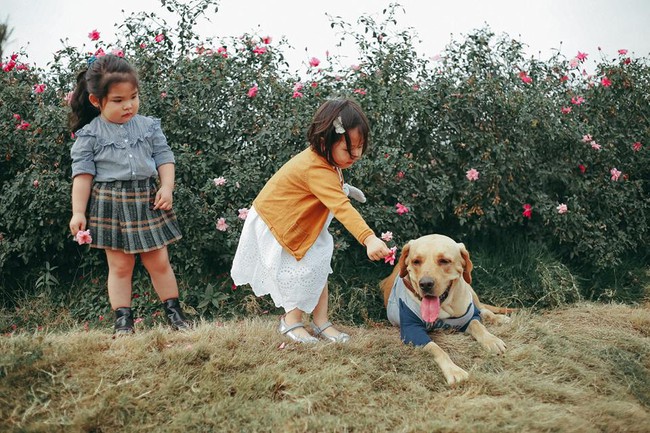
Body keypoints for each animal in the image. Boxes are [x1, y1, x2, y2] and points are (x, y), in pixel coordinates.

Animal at [380, 235, 512, 384]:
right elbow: (436, 348)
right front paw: (453, 370)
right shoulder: (411, 331)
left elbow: (478, 325)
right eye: (416, 261)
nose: (425, 284)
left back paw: (499, 318)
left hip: (469, 290)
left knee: (483, 309)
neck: (443, 310)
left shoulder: (468, 317)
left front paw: (491, 340)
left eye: (444, 261)